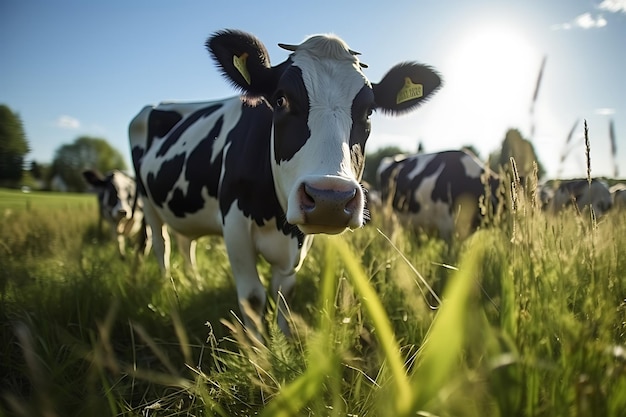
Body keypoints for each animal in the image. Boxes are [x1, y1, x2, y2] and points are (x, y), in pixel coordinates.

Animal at [128, 28, 438, 334]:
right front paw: (258, 348)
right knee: (161, 245)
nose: (330, 199)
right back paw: (169, 293)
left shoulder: (299, 242)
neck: (277, 219)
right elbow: (252, 298)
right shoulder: (235, 226)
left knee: (185, 244)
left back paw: (195, 284)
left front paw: (285, 340)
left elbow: (283, 294)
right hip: (146, 202)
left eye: (369, 111)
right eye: (281, 100)